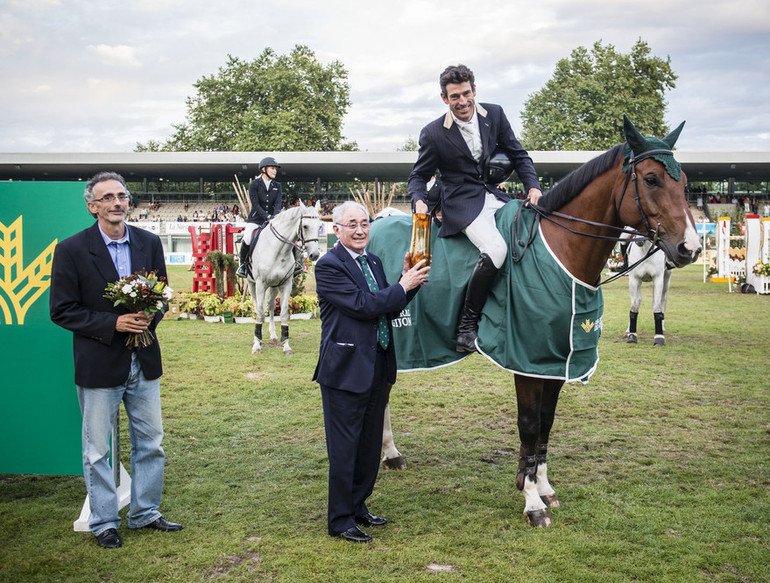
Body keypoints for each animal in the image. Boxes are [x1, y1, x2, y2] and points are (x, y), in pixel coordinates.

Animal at [244, 201, 320, 356]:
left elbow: (284, 313)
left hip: (274, 286)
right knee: (258, 306)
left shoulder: (286, 284)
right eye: (305, 226)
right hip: (251, 284)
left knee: (271, 306)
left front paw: (286, 346)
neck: (278, 249)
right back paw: (259, 336)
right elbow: (260, 312)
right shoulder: (260, 284)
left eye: (319, 226)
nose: (314, 255)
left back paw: (273, 335)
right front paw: (257, 345)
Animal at [368, 116, 700, 528]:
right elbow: (528, 424)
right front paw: (531, 502)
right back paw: (385, 454)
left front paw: (541, 485)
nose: (690, 248)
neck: (560, 249)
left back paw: (390, 454)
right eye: (652, 179)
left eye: (685, 183)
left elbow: (546, 422)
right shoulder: (525, 359)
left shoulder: (555, 359)